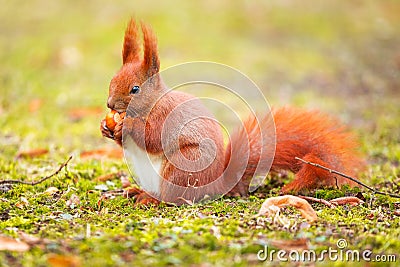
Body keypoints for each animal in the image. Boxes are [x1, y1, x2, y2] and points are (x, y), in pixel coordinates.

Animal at [100, 19, 362, 206]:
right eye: (111, 80)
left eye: (135, 89)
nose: (110, 105)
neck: (152, 103)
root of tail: (217, 185)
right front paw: (106, 127)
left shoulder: (167, 117)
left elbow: (153, 137)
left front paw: (128, 126)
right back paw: (136, 191)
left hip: (183, 168)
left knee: (175, 198)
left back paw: (151, 199)